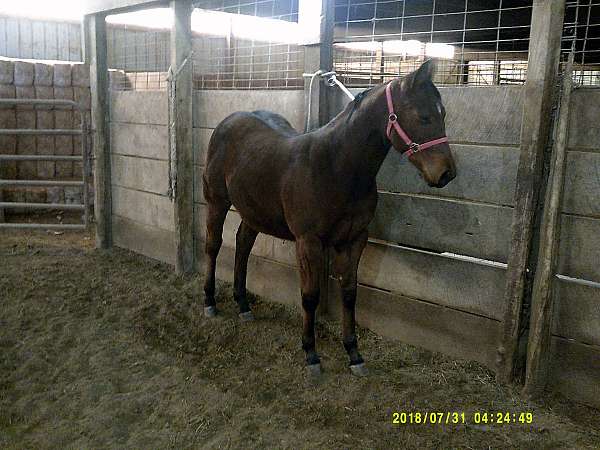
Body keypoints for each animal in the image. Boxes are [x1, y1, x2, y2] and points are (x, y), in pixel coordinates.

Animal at [200, 59, 454, 376]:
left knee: (243, 245)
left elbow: (349, 292)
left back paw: (244, 305)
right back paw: (209, 301)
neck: (336, 167)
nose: (446, 173)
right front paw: (311, 354)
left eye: (443, 114)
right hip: (217, 202)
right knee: (213, 245)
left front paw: (354, 354)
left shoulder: (354, 239)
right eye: (424, 116)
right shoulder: (308, 242)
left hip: (254, 209)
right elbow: (310, 295)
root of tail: (229, 121)